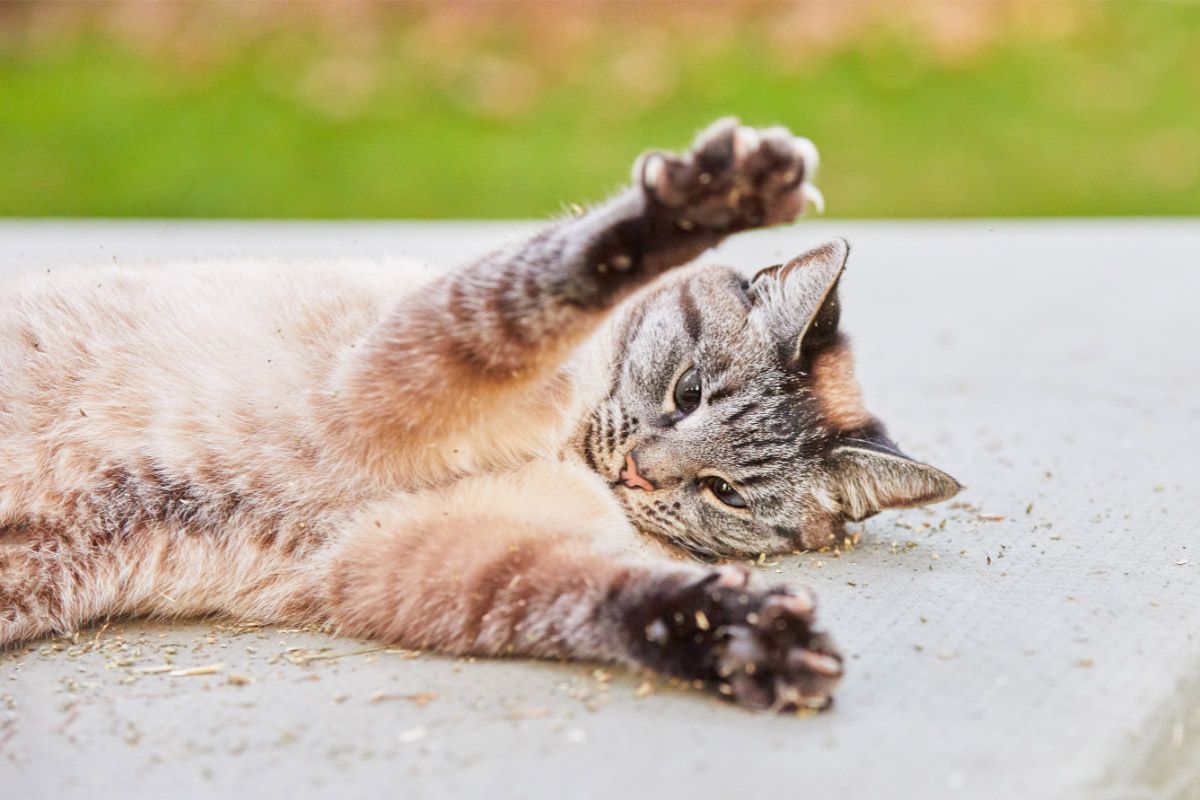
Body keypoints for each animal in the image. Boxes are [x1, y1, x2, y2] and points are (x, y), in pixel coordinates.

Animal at [0, 120, 960, 714]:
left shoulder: (424, 555)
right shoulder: (401, 378)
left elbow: (605, 598)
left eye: (724, 491)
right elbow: (559, 274)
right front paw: (711, 199)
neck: (568, 450)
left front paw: (744, 643)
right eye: (687, 394)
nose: (636, 473)